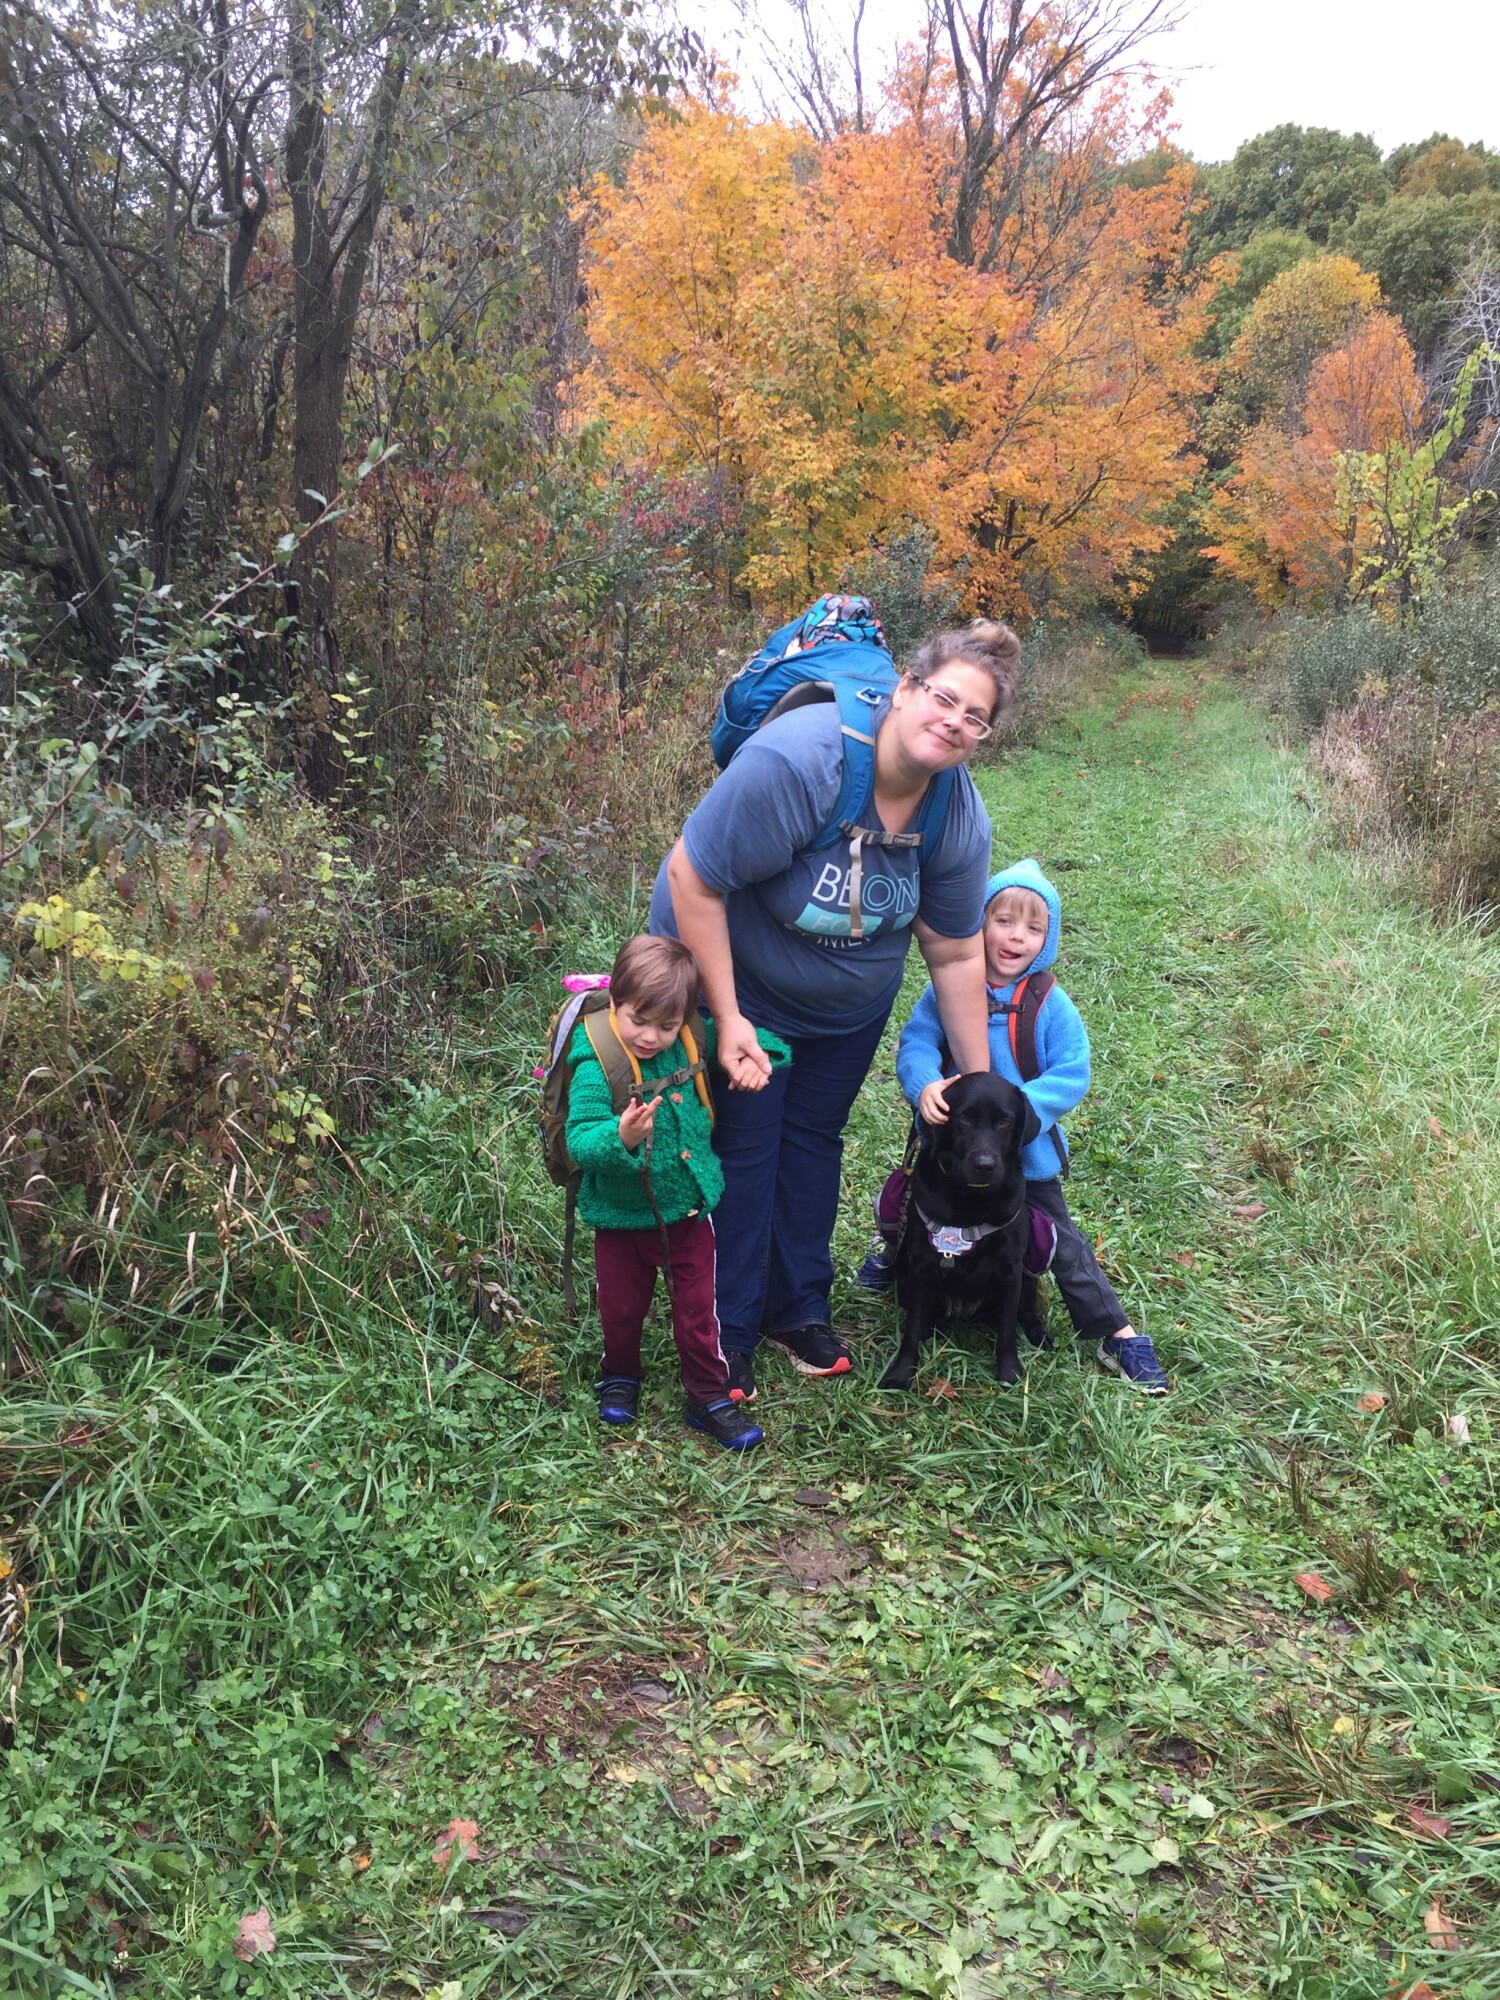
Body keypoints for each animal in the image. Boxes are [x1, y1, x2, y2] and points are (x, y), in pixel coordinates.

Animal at [888, 1080, 1040, 1392]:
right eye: (964, 1118)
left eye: (1005, 1121)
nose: (985, 1165)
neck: (972, 1201)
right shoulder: (922, 1269)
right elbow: (912, 1328)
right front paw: (901, 1371)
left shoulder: (1010, 1271)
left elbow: (1007, 1329)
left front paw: (1010, 1373)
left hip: (1028, 1278)